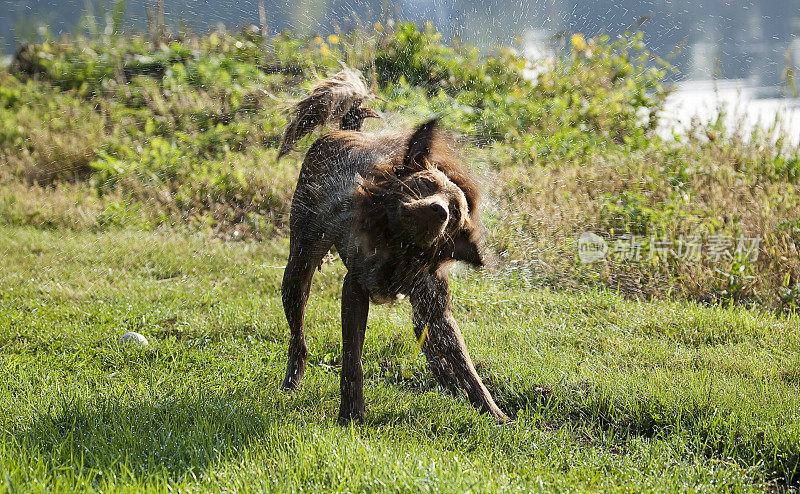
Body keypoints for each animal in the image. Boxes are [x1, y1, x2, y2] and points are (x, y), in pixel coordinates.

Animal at [278, 68, 510, 424]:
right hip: (298, 267)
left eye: (456, 213)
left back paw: (448, 384)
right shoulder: (355, 288)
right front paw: (352, 414)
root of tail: (345, 131)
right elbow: (352, 358)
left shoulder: (435, 308)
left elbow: (467, 369)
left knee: (434, 353)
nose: (439, 211)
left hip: (419, 313)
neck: (400, 248)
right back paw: (292, 380)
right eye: (426, 183)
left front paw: (495, 415)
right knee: (298, 338)